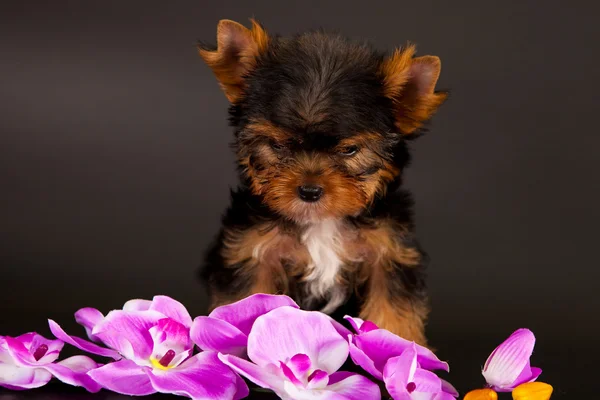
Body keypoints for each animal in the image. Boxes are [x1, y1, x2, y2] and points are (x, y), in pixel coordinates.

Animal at [197, 18, 446, 346]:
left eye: (350, 150)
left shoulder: (389, 252)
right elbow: (245, 302)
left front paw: (399, 347)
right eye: (277, 145)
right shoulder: (250, 252)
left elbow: (393, 311)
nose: (309, 191)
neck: (321, 222)